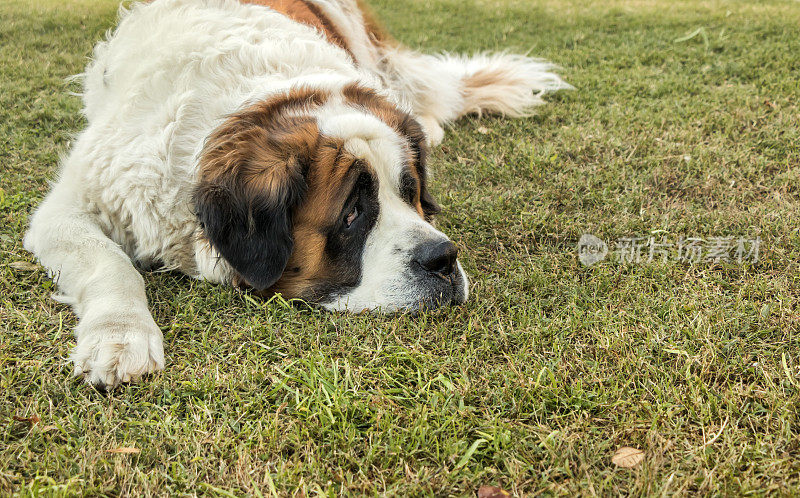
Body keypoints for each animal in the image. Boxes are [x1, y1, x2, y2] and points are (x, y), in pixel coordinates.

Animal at [23, 0, 568, 388]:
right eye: (351, 214)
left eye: (410, 192)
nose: (443, 258)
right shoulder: (74, 203)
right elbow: (107, 260)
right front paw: (120, 339)